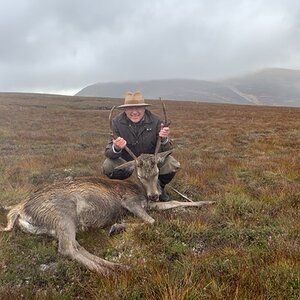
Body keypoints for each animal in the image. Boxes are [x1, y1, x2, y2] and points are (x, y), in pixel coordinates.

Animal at [0, 104, 216, 276]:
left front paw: (210, 201)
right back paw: (112, 271)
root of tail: (19, 209)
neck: (139, 191)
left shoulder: (149, 204)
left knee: (76, 246)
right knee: (67, 248)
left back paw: (116, 266)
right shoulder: (130, 202)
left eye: (156, 171)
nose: (154, 195)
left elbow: (175, 202)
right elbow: (151, 221)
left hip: (55, 226)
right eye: (139, 175)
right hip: (62, 215)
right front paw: (117, 226)